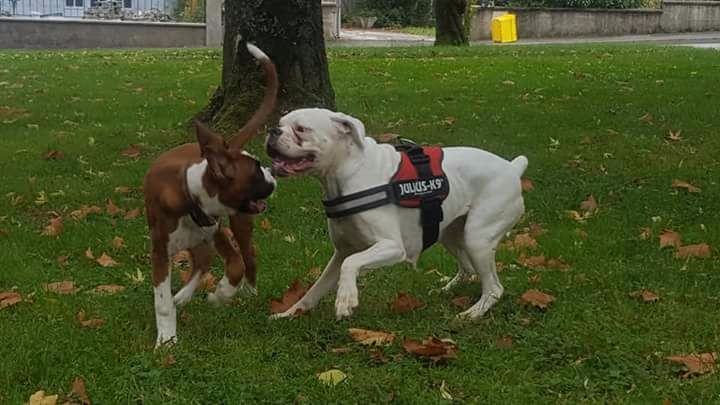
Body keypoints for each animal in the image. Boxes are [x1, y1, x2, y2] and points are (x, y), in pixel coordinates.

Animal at [142, 44, 278, 348]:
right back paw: (182, 296)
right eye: (256, 172)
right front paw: (166, 340)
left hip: (238, 224)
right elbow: (162, 302)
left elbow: (236, 265)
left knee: (246, 256)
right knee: (202, 262)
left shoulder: (216, 229)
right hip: (201, 238)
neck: (189, 193)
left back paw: (247, 292)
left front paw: (220, 295)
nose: (273, 174)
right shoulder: (160, 251)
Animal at [268, 108, 524, 318]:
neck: (348, 172)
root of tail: (512, 168)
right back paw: (447, 290)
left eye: (301, 129)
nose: (273, 130)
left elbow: (350, 264)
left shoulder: (391, 247)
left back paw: (473, 313)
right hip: (451, 235)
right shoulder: (340, 253)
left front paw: (346, 298)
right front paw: (290, 313)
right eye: (280, 123)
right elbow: (315, 289)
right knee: (468, 270)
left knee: (494, 288)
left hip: (477, 238)